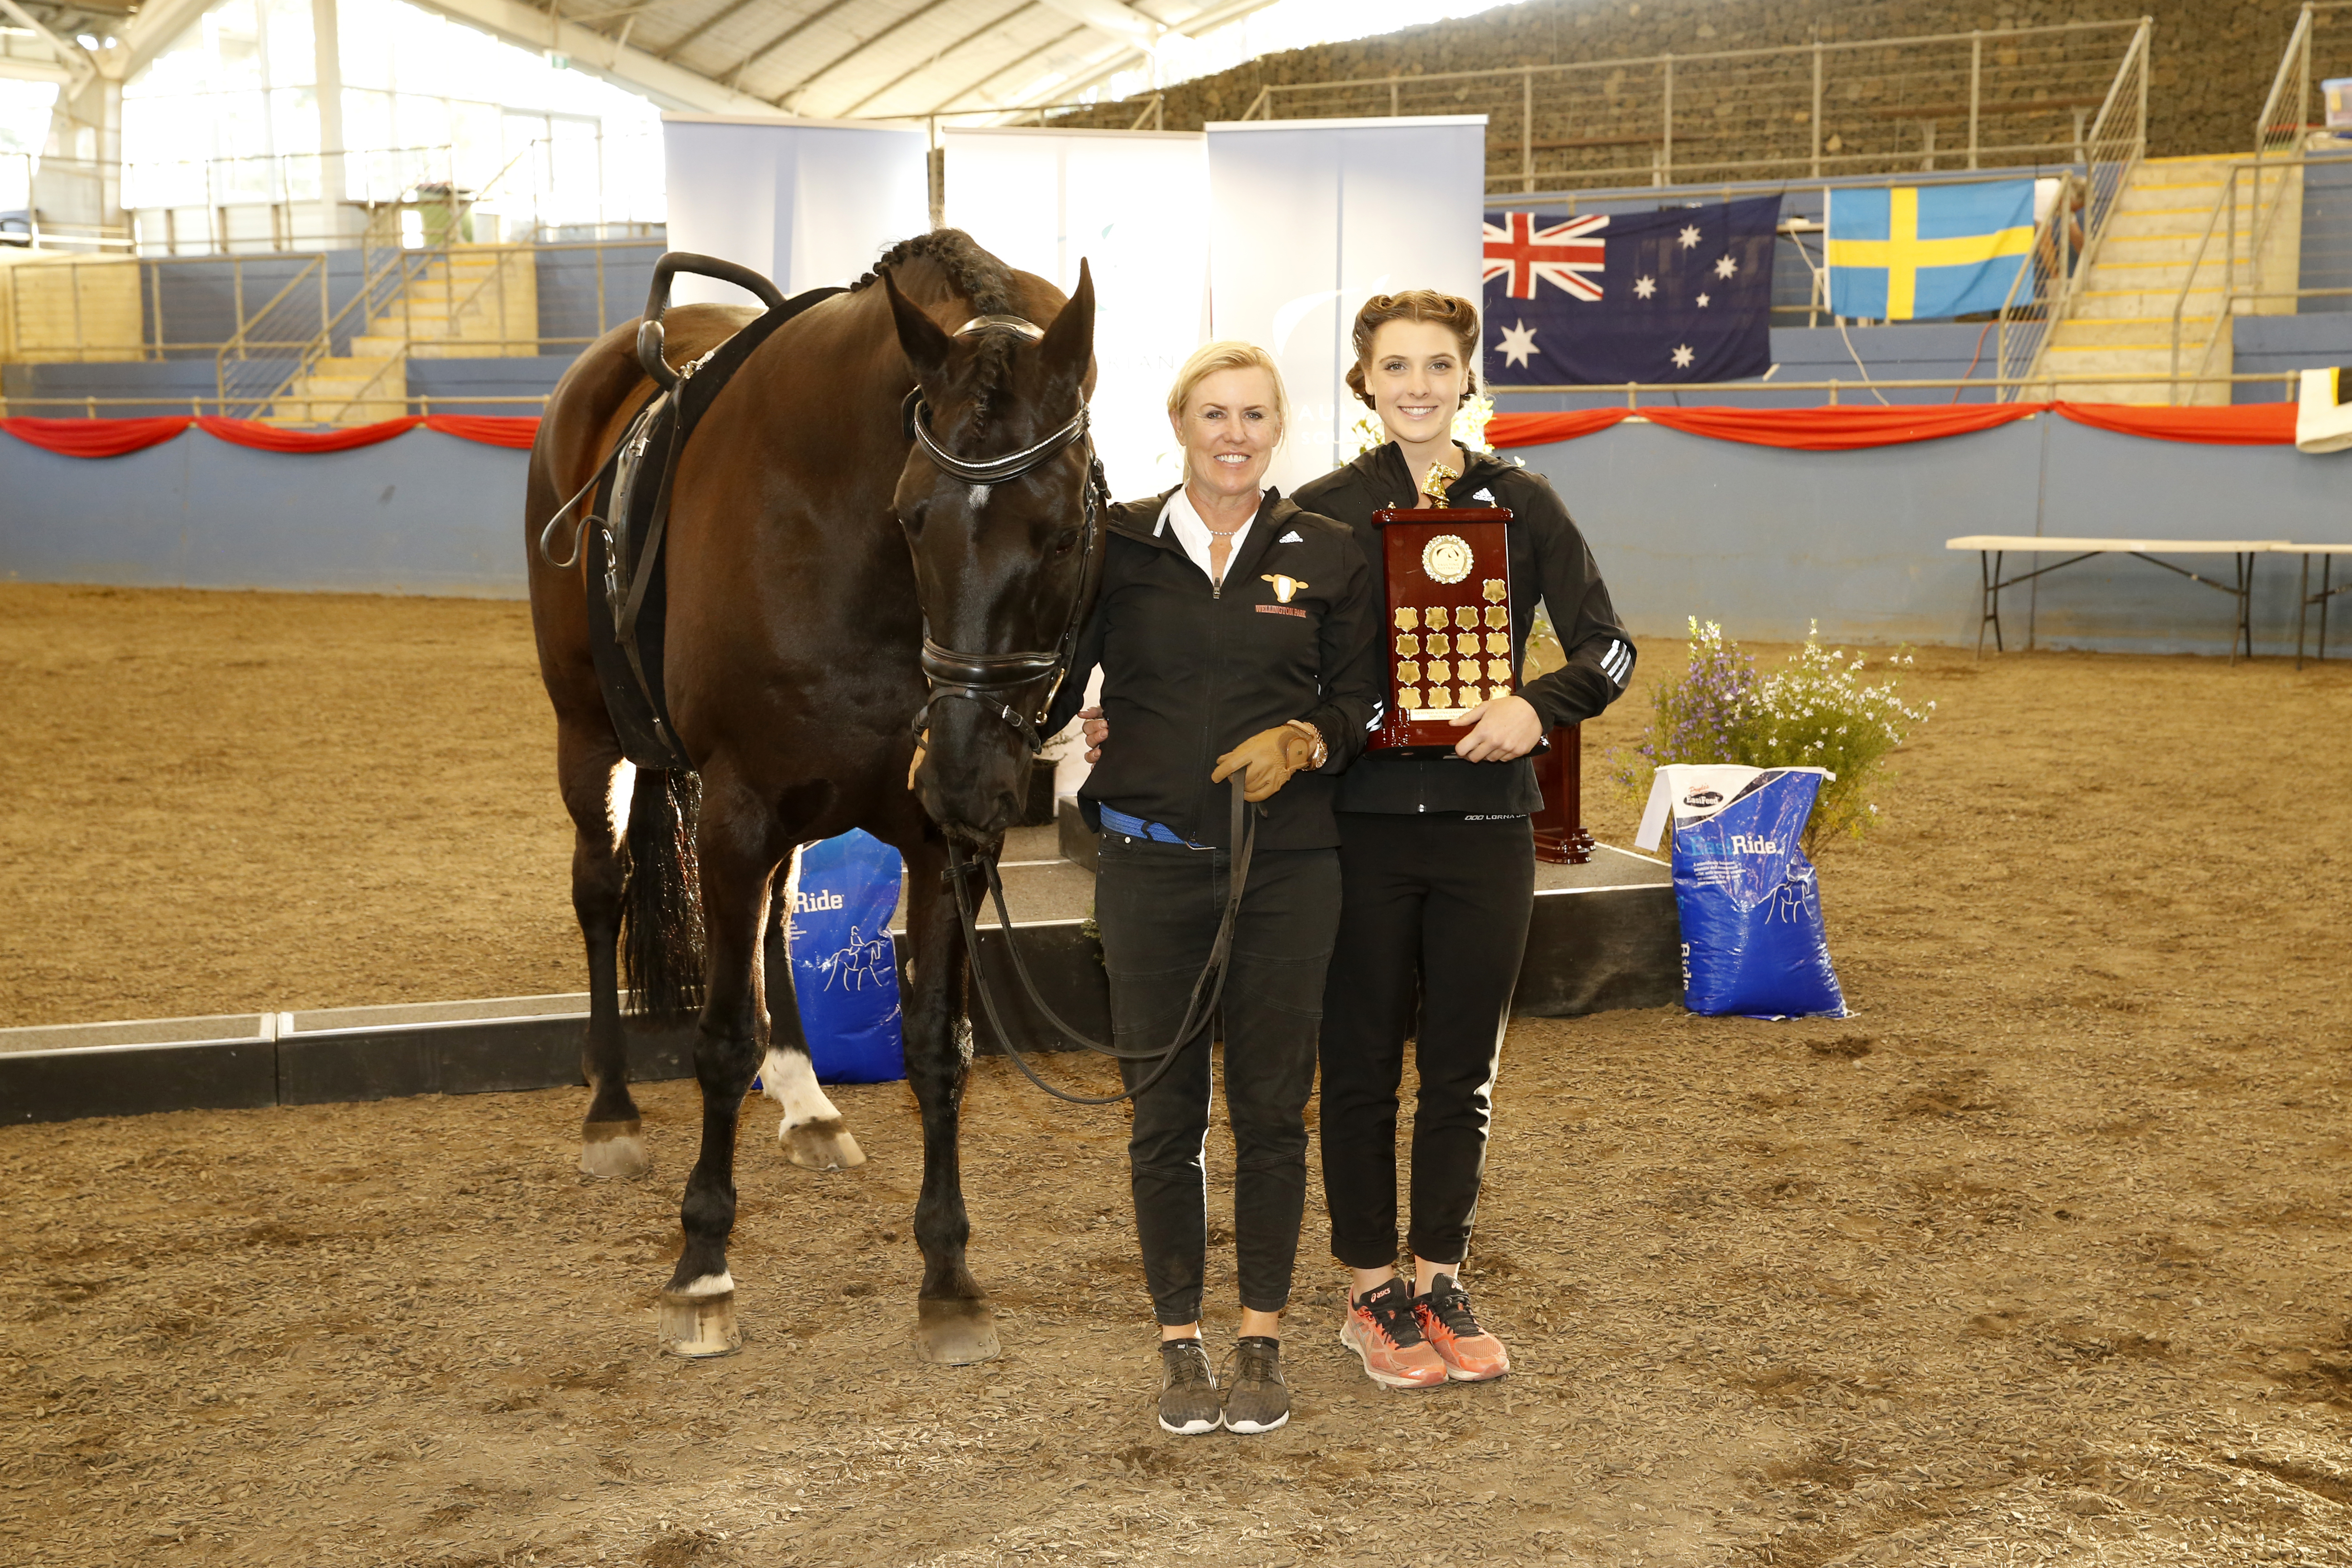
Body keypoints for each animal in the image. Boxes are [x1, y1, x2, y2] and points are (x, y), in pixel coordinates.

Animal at [524, 230, 1101, 1363]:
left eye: (1062, 534)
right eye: (913, 516)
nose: (966, 768)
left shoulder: (935, 841)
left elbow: (938, 1045)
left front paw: (948, 1275)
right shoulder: (736, 807)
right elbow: (718, 1037)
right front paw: (703, 1266)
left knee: (777, 922)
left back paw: (804, 1101)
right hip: (590, 736)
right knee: (601, 892)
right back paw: (611, 1108)